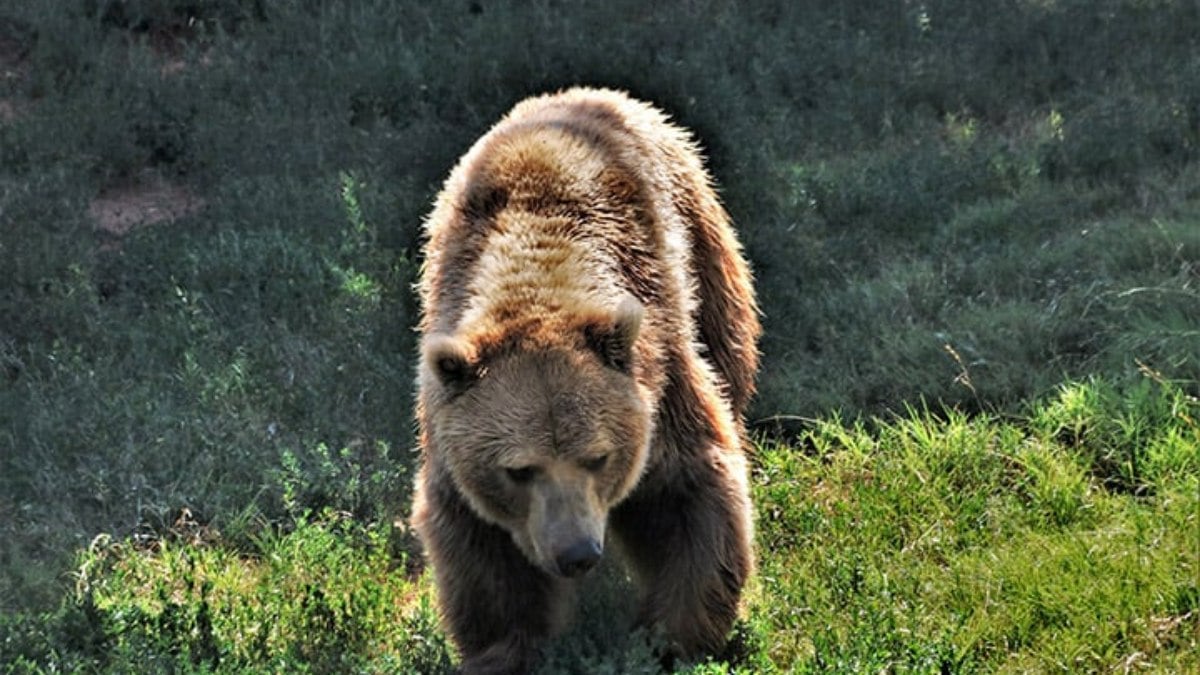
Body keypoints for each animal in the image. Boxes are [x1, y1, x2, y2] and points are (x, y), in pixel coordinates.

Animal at [412, 86, 758, 667]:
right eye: (519, 470)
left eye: (598, 456)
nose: (576, 553)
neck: (537, 277)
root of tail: (584, 93)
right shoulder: (447, 421)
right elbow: (483, 553)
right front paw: (506, 650)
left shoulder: (662, 377)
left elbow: (689, 492)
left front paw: (670, 638)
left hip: (701, 240)